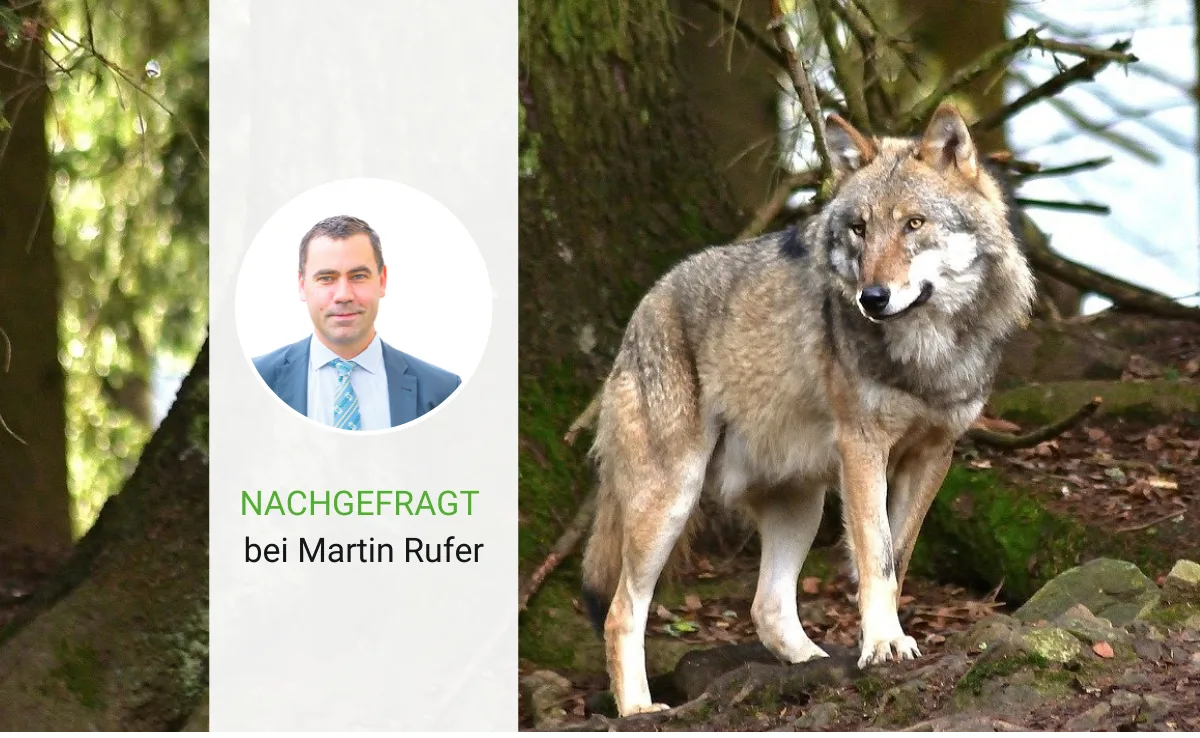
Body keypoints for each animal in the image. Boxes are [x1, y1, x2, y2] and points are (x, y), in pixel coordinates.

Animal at [579, 103, 1035, 716]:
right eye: (860, 229)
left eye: (914, 224)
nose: (872, 298)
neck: (926, 353)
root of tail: (644, 306)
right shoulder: (863, 447)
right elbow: (875, 556)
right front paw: (884, 643)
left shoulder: (933, 454)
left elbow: (895, 559)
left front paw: (882, 640)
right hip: (671, 499)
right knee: (620, 612)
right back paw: (639, 710)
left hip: (802, 503)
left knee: (766, 609)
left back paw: (814, 665)